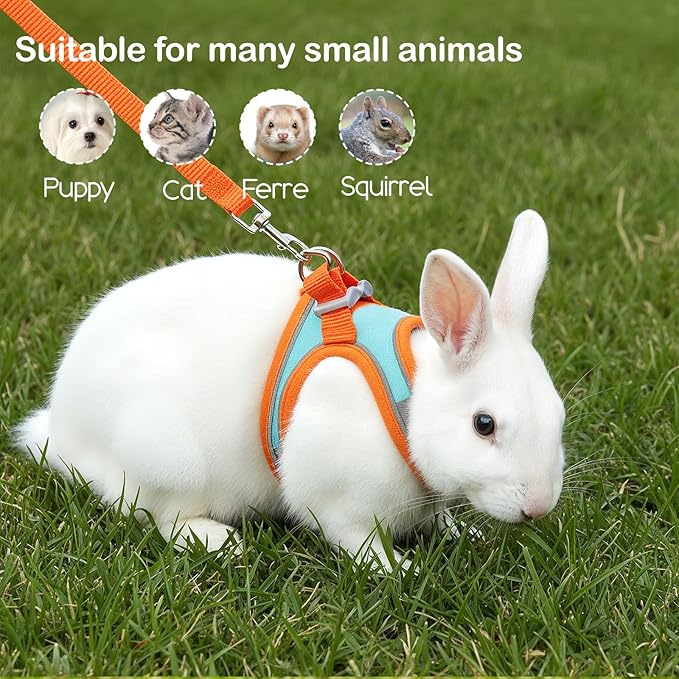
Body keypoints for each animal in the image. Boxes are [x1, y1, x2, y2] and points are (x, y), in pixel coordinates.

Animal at [16, 209, 565, 568]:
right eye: (484, 425)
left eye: (558, 417)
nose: (538, 508)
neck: (410, 405)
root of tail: (62, 431)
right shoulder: (336, 493)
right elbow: (356, 539)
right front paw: (399, 570)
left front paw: (464, 534)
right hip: (167, 455)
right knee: (161, 515)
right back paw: (219, 541)